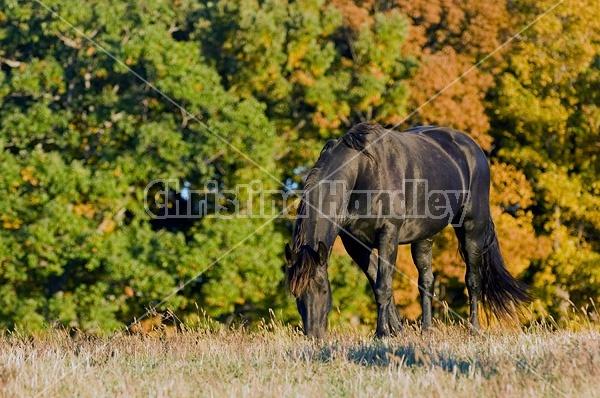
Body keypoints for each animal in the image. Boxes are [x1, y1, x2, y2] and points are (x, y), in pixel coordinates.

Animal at [284, 123, 532, 338]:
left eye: (323, 290)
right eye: (295, 294)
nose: (314, 336)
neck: (363, 172)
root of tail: (473, 149)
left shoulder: (388, 235)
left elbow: (383, 286)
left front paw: (382, 333)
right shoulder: (356, 244)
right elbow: (380, 285)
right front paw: (396, 331)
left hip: (472, 229)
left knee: (473, 279)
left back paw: (474, 329)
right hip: (424, 237)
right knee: (426, 282)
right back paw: (426, 330)